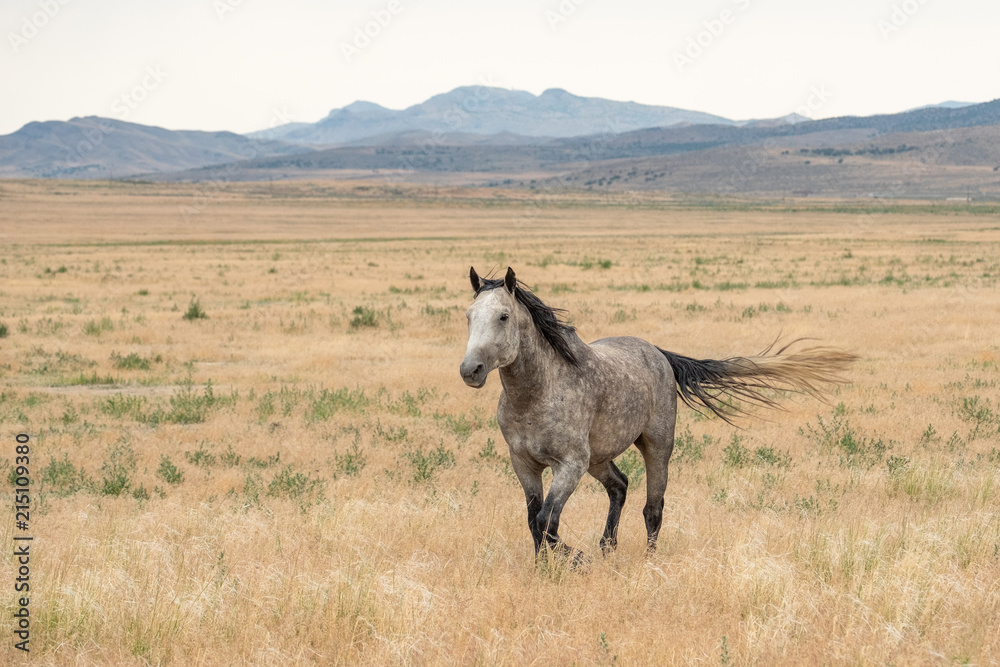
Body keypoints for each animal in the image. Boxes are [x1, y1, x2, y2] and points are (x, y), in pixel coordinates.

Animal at [460, 266, 858, 562]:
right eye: (468, 316)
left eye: (503, 316)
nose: (470, 370)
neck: (537, 393)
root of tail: (659, 353)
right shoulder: (524, 464)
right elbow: (534, 521)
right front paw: (547, 567)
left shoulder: (569, 465)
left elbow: (547, 520)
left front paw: (575, 560)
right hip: (599, 457)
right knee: (620, 486)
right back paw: (607, 548)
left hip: (655, 446)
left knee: (653, 508)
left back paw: (646, 559)